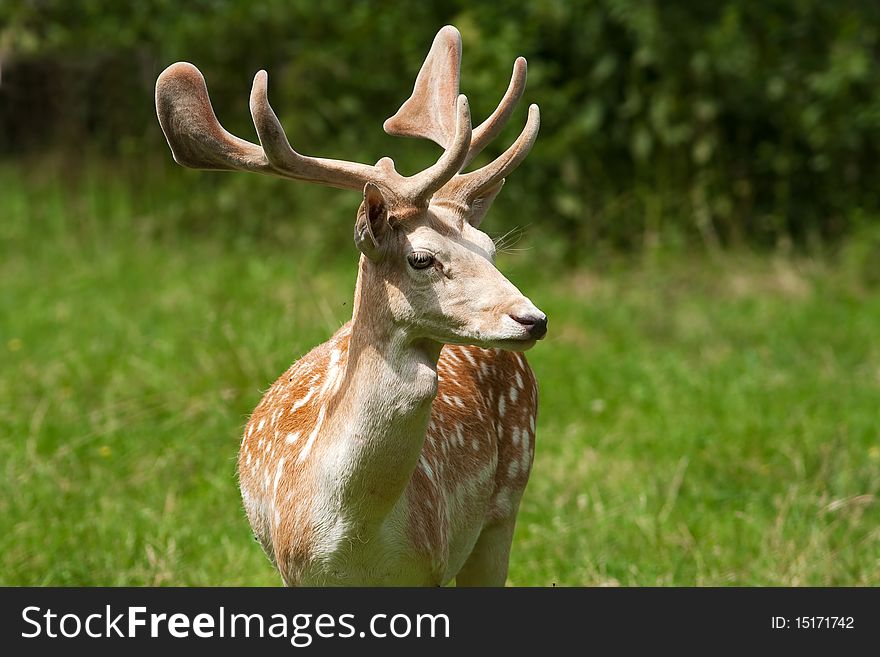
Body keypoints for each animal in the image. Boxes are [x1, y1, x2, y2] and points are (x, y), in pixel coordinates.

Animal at [155, 25, 548, 588]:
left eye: (489, 247)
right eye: (422, 258)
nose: (532, 319)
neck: (354, 537)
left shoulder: (431, 565)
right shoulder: (294, 569)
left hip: (506, 501)